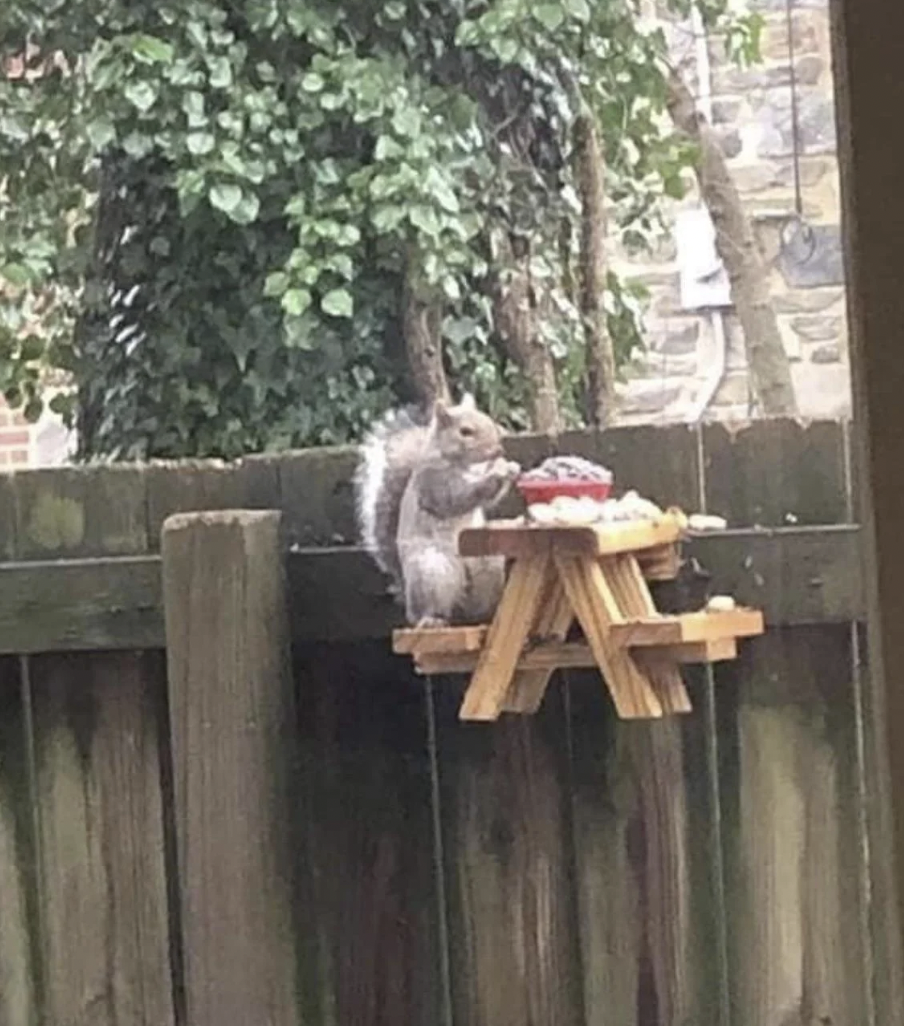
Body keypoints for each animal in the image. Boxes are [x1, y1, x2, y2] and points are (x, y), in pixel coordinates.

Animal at [355, 396, 519, 627]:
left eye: (488, 419)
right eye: (465, 431)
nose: (498, 450)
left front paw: (508, 467)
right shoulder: (434, 481)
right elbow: (457, 497)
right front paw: (496, 473)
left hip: (488, 565)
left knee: (474, 609)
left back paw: (485, 614)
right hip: (431, 572)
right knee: (433, 609)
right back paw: (431, 619)